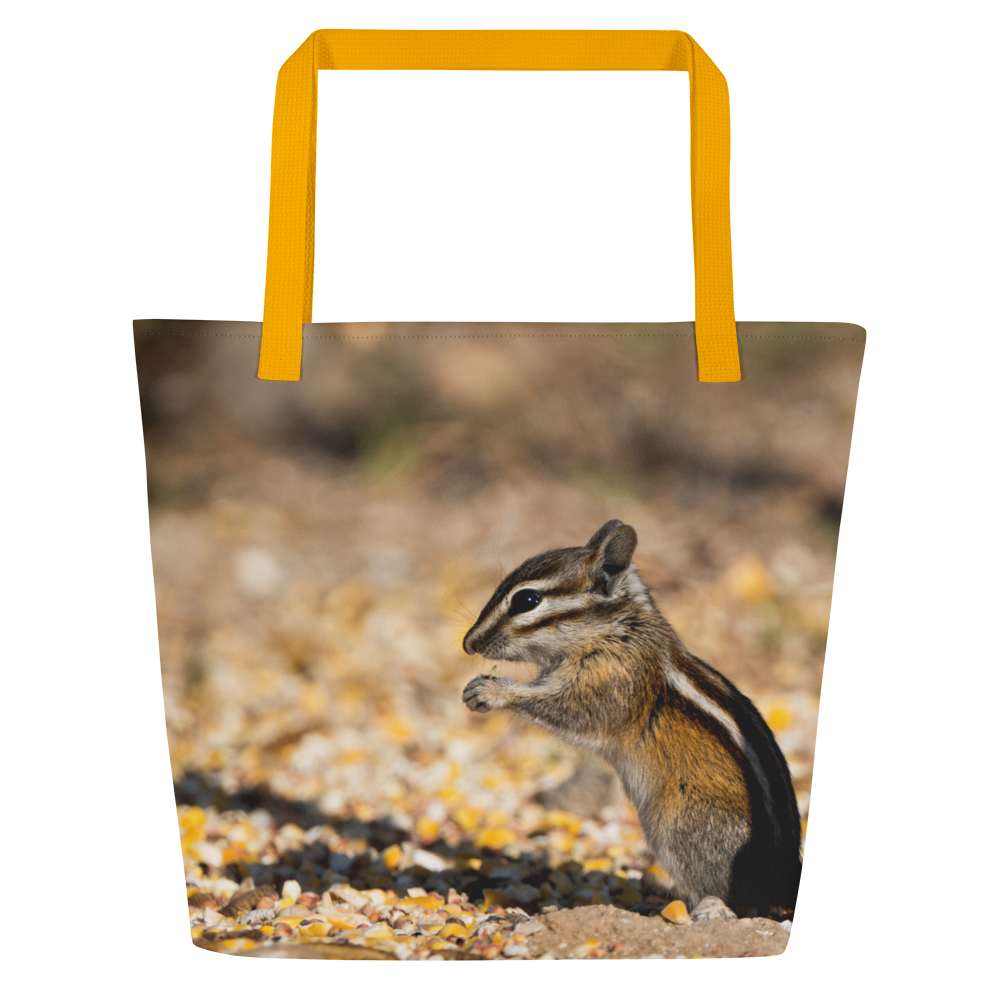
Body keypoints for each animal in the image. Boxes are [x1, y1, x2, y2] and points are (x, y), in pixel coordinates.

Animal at [462, 520, 802, 920]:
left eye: (527, 600)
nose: (468, 644)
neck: (618, 628)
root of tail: (782, 883)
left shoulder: (610, 683)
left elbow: (570, 710)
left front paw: (491, 691)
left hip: (682, 826)